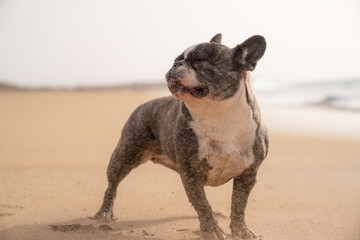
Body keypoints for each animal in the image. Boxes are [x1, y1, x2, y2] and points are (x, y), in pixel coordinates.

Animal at [94, 34, 268, 240]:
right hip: (125, 155)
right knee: (112, 185)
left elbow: (239, 204)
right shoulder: (190, 172)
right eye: (176, 60)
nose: (177, 64)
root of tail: (144, 104)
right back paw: (105, 212)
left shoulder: (248, 174)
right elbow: (202, 203)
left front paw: (240, 230)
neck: (218, 115)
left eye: (199, 61)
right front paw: (211, 230)